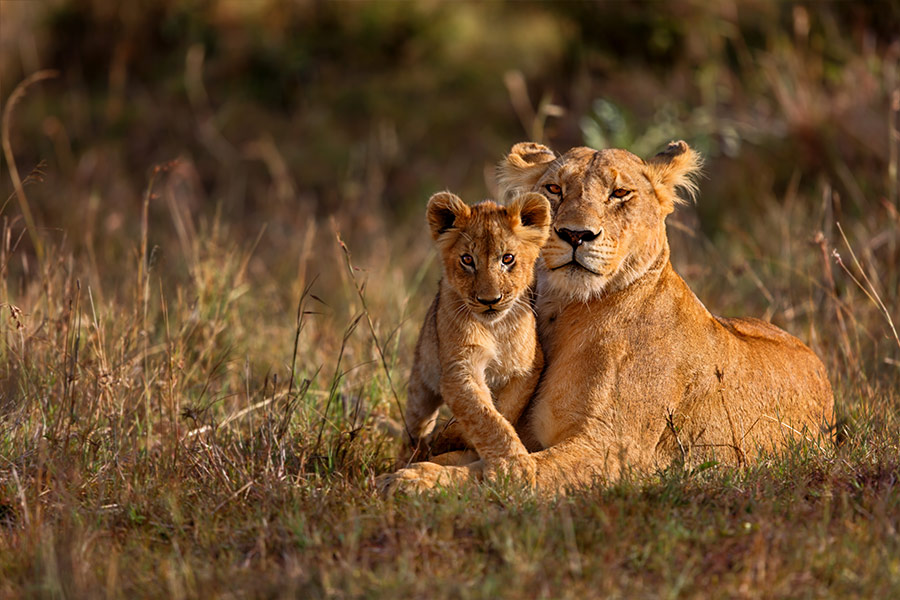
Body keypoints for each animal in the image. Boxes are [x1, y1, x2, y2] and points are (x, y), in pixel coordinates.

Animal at [398, 190, 551, 471]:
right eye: (467, 260)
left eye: (507, 259)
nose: (489, 300)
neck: (496, 328)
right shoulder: (459, 369)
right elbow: (485, 417)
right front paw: (514, 466)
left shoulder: (527, 367)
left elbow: (504, 411)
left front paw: (454, 436)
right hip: (421, 384)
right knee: (415, 426)